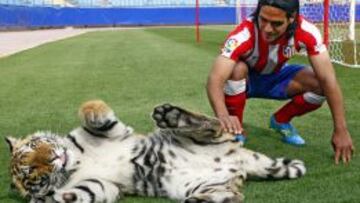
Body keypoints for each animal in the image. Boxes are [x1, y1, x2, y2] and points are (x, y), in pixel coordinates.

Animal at [4, 100, 304, 203]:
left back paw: (171, 115)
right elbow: (84, 192)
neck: (74, 164)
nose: (54, 157)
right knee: (235, 196)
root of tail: (242, 158)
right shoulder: (105, 185)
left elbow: (93, 111)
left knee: (210, 123)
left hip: (205, 135)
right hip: (199, 183)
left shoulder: (114, 132)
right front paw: (55, 198)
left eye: (36, 147)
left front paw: (93, 111)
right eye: (32, 172)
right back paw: (205, 201)